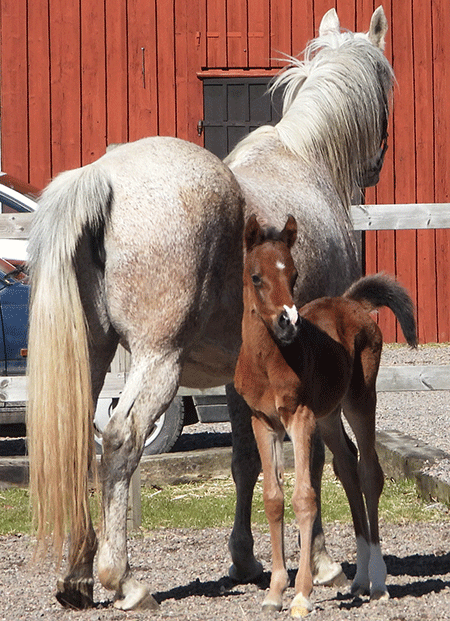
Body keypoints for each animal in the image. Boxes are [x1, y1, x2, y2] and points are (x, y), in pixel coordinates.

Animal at [234, 214, 416, 616]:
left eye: (294, 274)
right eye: (256, 276)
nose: (288, 322)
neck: (268, 360)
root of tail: (351, 302)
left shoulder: (299, 417)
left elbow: (305, 497)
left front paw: (302, 595)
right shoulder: (263, 422)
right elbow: (273, 499)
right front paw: (274, 592)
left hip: (360, 400)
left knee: (368, 472)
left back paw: (378, 581)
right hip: (330, 416)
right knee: (347, 467)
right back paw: (360, 579)